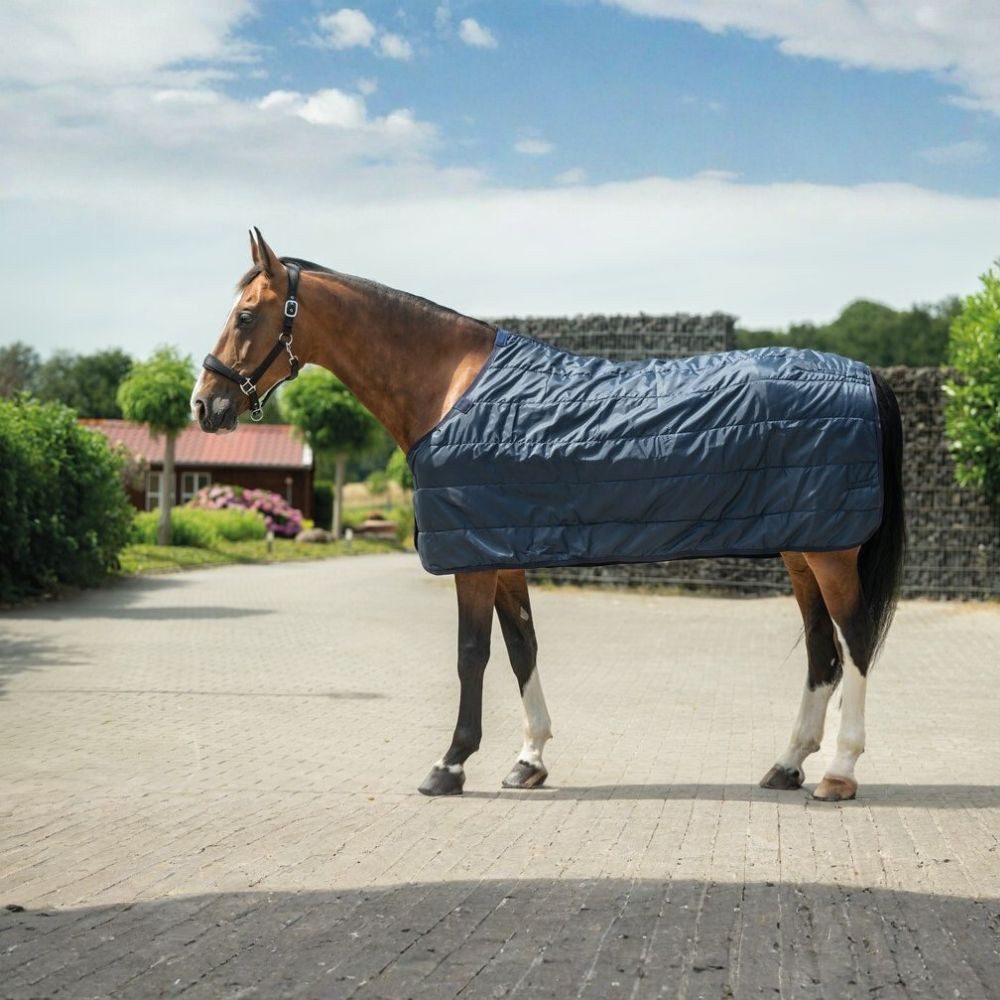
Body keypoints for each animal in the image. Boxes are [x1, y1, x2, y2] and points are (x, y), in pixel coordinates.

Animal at [192, 229, 906, 803]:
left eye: (247, 315)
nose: (205, 404)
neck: (449, 387)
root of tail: (865, 372)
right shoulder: (501, 549)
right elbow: (521, 649)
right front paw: (528, 760)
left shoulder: (473, 558)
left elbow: (472, 654)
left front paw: (450, 765)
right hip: (803, 544)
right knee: (822, 654)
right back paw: (787, 766)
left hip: (831, 552)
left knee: (856, 643)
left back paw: (839, 773)